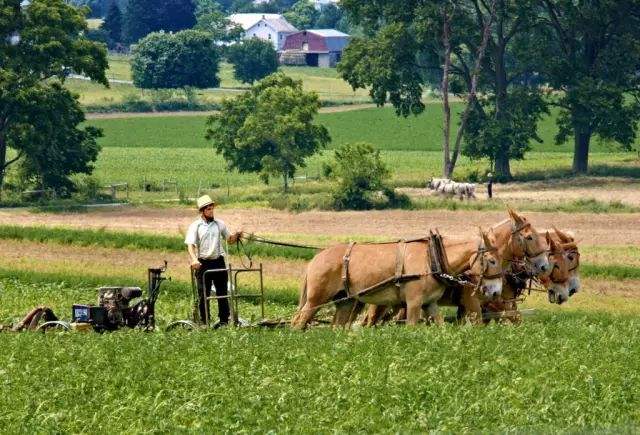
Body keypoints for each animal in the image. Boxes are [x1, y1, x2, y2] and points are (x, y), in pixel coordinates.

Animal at [292, 232, 504, 328]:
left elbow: (440, 325)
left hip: (345, 301)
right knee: (299, 322)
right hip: (316, 299)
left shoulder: (430, 303)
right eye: (492, 260)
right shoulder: (413, 302)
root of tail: (316, 258)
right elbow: (412, 327)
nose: (496, 292)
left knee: (337, 326)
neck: (432, 258)